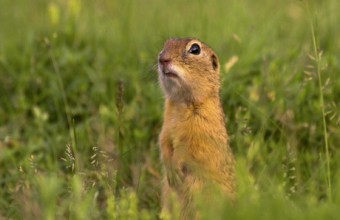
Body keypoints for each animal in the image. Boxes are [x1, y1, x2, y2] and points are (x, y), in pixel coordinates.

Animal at [157, 37, 235, 218]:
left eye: (195, 49)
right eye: (166, 44)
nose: (162, 59)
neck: (181, 102)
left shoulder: (201, 130)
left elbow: (189, 149)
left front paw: (175, 168)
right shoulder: (166, 127)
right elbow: (164, 142)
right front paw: (169, 167)